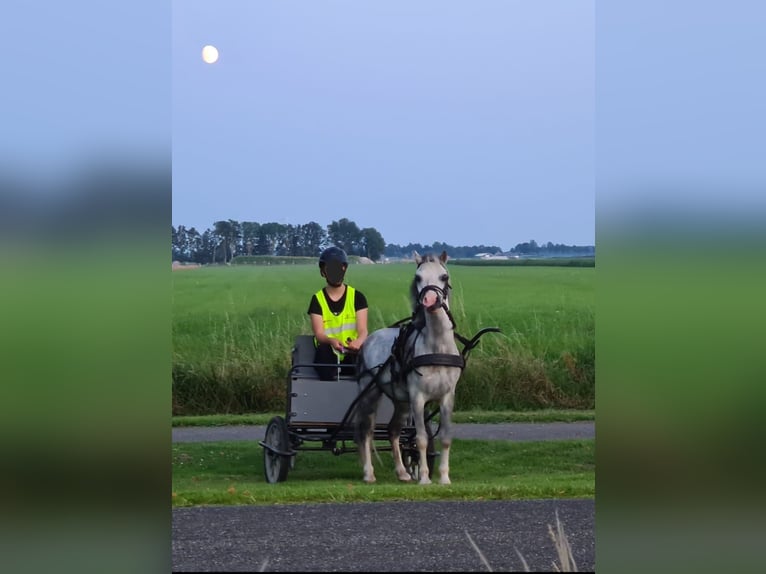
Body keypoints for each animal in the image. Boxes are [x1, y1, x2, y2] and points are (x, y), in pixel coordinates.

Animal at [356, 252, 468, 486]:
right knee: (366, 431)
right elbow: (422, 438)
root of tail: (369, 338)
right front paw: (424, 478)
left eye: (444, 276)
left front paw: (444, 477)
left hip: (401, 402)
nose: (430, 300)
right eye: (418, 277)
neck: (436, 346)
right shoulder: (418, 397)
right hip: (370, 393)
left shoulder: (447, 397)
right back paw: (368, 473)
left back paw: (402, 472)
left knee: (393, 431)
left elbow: (445, 437)